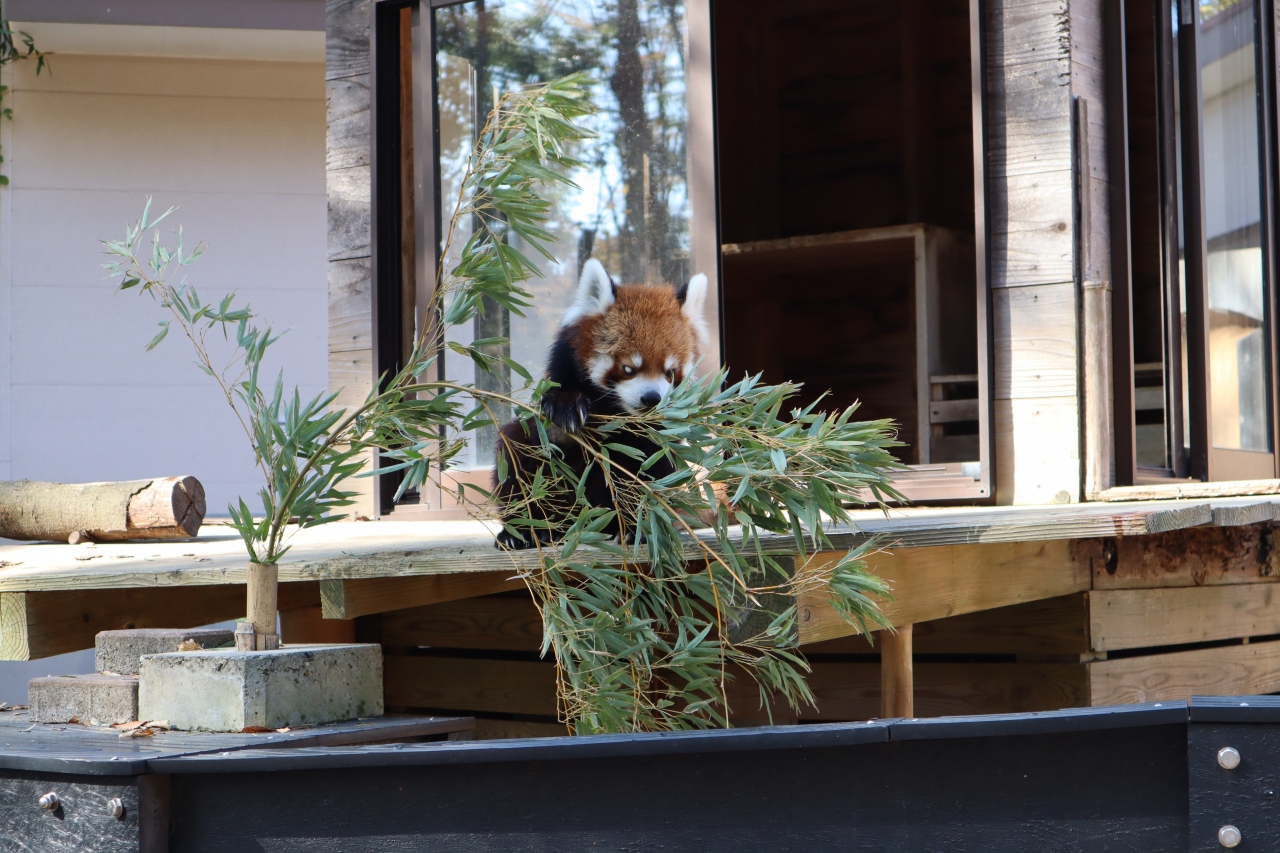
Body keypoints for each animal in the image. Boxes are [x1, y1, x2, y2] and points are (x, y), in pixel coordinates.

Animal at [491, 258, 711, 548]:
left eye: (670, 373)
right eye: (628, 369)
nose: (651, 399)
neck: (617, 413)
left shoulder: (656, 439)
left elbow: (651, 468)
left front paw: (637, 524)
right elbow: (547, 434)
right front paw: (566, 409)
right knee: (515, 454)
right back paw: (525, 530)